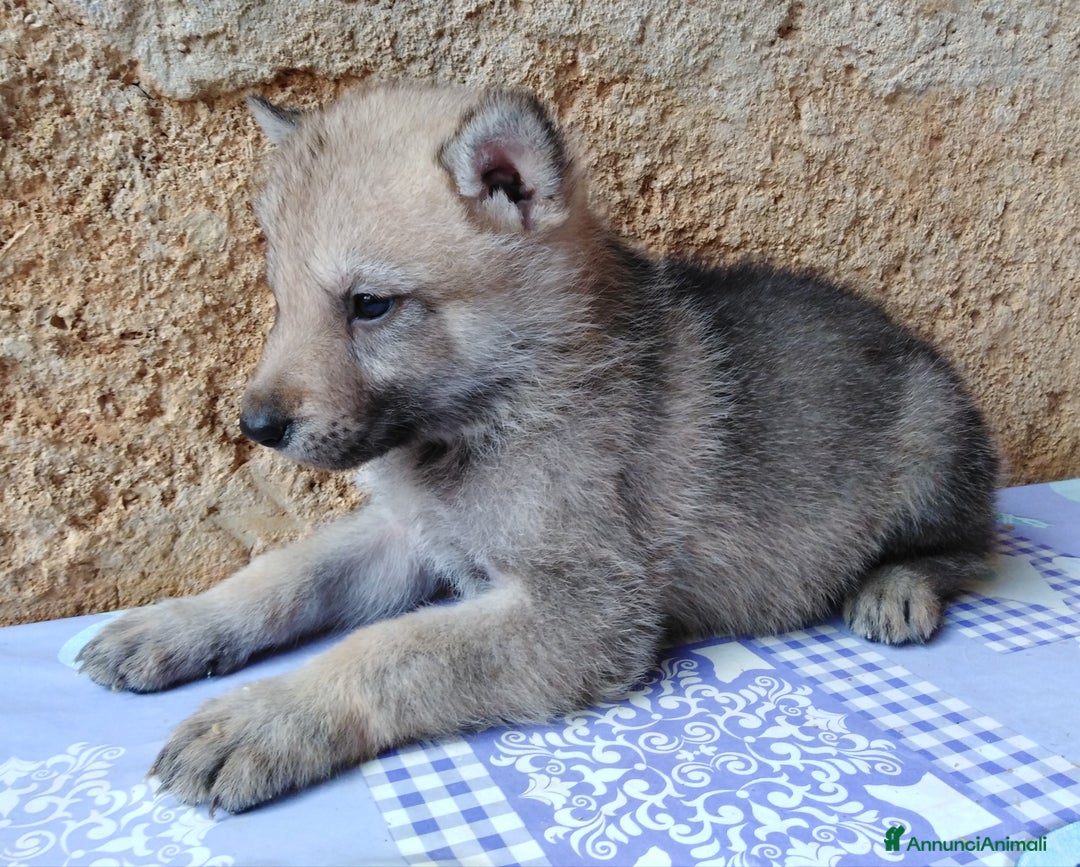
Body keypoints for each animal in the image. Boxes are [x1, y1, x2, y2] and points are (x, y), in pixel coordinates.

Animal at [77, 83, 999, 813]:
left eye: (371, 305)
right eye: (279, 298)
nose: (256, 426)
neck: (497, 406)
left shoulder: (583, 609)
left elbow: (389, 650)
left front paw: (269, 717)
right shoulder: (407, 535)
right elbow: (286, 573)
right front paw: (178, 624)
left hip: (931, 448)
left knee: (977, 547)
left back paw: (898, 586)